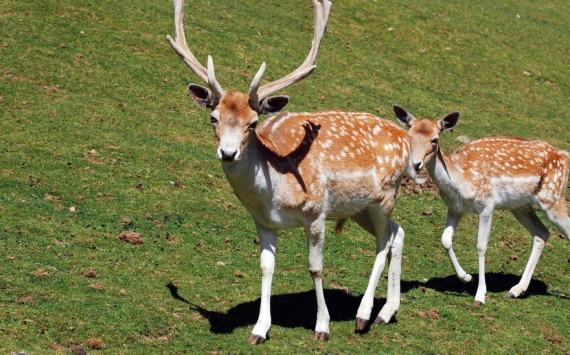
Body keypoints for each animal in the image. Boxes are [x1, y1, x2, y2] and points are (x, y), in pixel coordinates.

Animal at [166, 0, 410, 344]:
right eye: (213, 118)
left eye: (253, 122)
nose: (228, 153)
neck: (274, 193)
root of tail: (407, 138)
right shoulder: (263, 222)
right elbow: (266, 266)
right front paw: (259, 329)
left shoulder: (316, 213)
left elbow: (315, 268)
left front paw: (322, 327)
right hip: (360, 208)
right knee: (397, 233)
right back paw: (386, 312)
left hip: (385, 196)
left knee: (383, 242)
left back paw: (363, 316)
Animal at [392, 105, 568, 306]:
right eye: (410, 135)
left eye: (435, 139)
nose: (416, 164)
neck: (461, 180)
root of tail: (564, 156)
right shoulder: (455, 208)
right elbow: (445, 239)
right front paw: (467, 278)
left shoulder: (487, 204)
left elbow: (481, 246)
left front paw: (480, 295)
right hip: (520, 207)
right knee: (541, 233)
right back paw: (515, 290)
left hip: (553, 197)